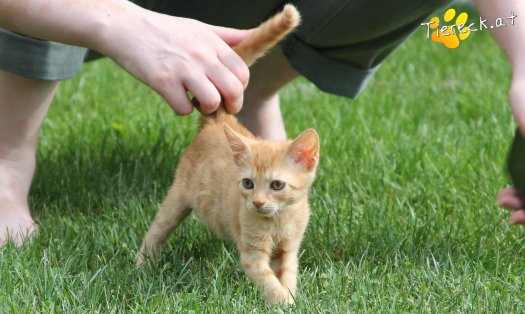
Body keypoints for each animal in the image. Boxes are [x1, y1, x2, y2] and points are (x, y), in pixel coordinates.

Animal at [135, 4, 318, 304]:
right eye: (248, 183)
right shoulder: (253, 257)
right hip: (176, 199)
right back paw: (141, 266)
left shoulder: (289, 251)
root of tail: (218, 120)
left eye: (277, 185)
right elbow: (270, 284)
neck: (278, 221)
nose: (257, 202)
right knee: (156, 231)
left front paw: (291, 295)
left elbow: (288, 276)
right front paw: (286, 303)